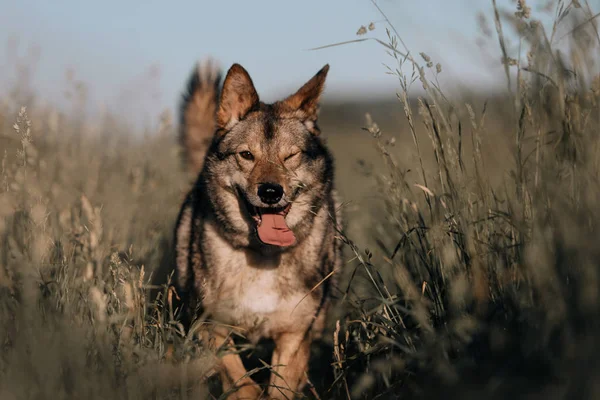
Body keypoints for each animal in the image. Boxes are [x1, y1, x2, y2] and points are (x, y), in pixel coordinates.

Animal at [172, 57, 342, 398]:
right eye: (247, 155)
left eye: (291, 156)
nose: (271, 192)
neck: (264, 256)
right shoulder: (213, 327)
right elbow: (243, 384)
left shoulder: (293, 335)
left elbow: (279, 388)